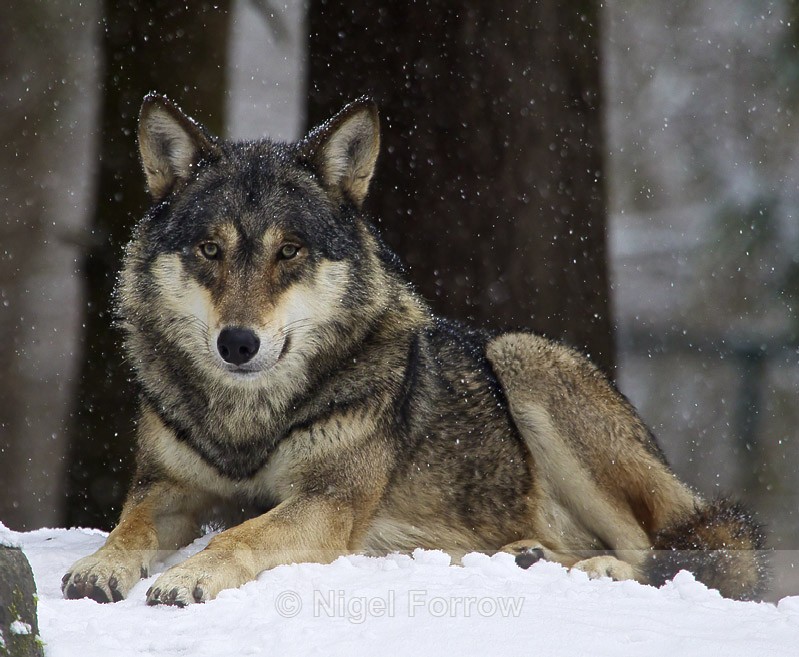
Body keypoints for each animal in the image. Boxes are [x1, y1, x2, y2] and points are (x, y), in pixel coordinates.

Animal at [62, 94, 766, 606]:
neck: (248, 420)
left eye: (289, 251)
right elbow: (129, 526)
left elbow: (240, 532)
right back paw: (525, 555)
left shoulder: (330, 503)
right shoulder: (169, 487)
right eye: (211, 249)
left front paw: (188, 576)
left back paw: (597, 570)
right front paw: (100, 564)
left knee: (671, 551)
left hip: (524, 358)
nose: (238, 343)